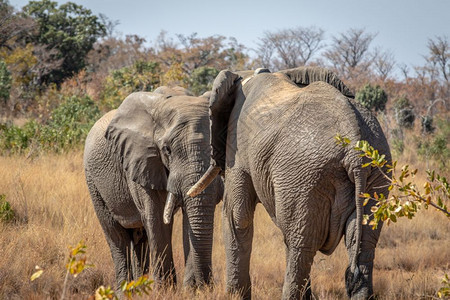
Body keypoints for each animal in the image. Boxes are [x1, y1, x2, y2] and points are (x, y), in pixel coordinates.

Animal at [83, 87, 223, 292]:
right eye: (167, 150)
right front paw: (166, 291)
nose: (207, 286)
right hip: (93, 182)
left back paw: (137, 289)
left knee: (139, 238)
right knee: (117, 237)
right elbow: (156, 217)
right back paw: (124, 291)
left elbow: (189, 220)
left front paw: (189, 290)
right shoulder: (141, 161)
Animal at [190, 68, 390, 300]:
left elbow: (237, 217)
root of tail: (353, 143)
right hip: (375, 171)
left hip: (305, 175)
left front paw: (233, 296)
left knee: (300, 246)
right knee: (362, 242)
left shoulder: (237, 146)